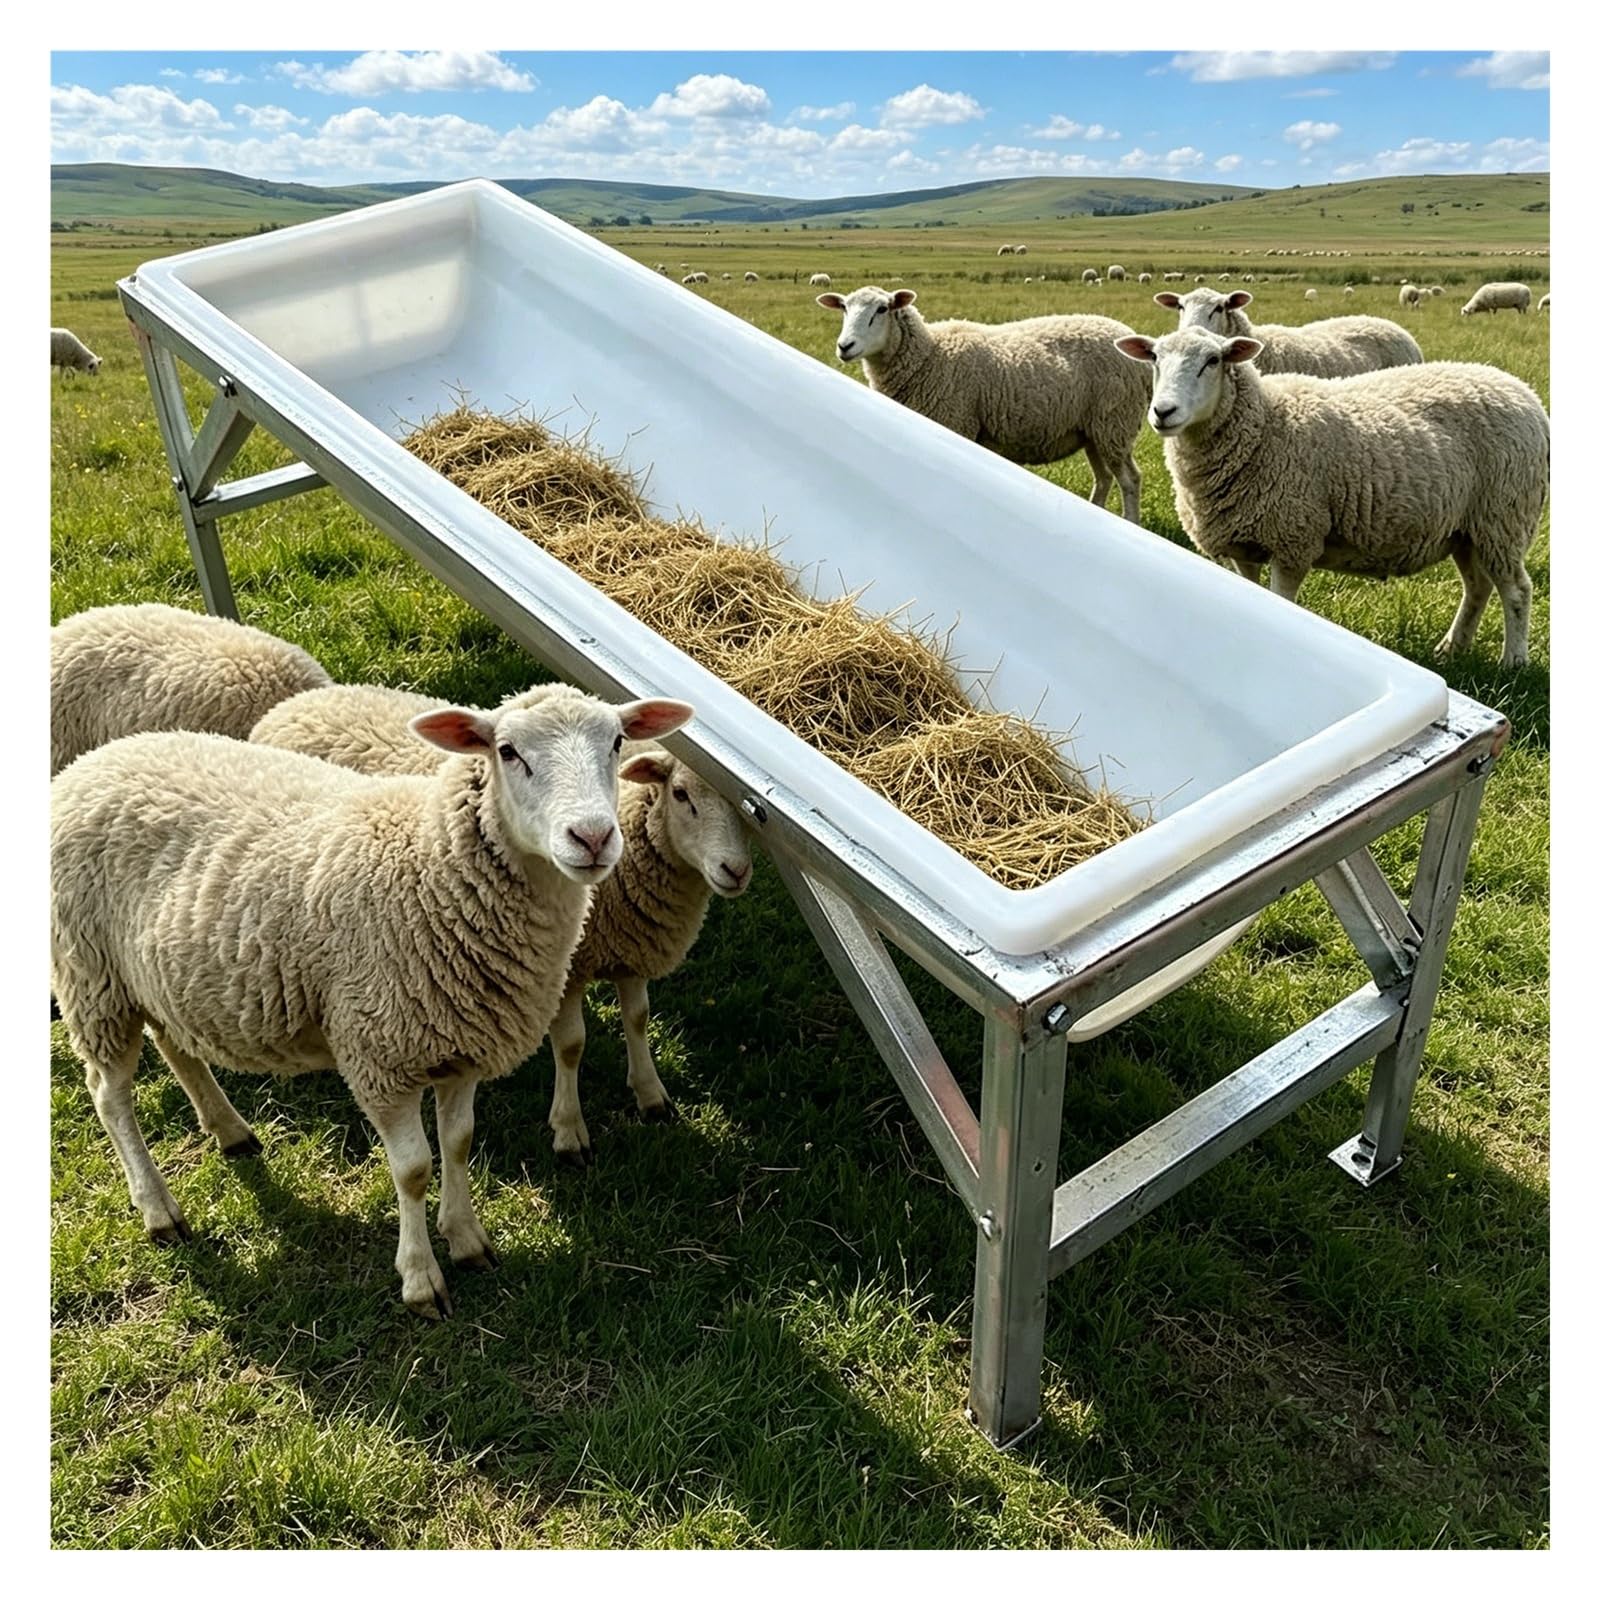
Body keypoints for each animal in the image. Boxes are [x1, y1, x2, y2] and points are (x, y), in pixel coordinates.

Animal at [51, 683, 696, 1316]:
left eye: (617, 742)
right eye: (507, 751)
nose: (592, 837)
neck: (433, 866)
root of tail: (92, 764)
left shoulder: (464, 1041)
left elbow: (459, 1144)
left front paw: (468, 1241)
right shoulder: (381, 1055)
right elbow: (413, 1170)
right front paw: (422, 1280)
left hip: (158, 978)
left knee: (176, 1046)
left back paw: (230, 1130)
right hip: (91, 974)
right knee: (108, 1095)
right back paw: (159, 1210)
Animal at [250, 684, 754, 1162]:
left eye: (616, 742)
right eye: (681, 795)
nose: (593, 838)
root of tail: (295, 704)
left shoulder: (631, 947)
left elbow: (639, 1018)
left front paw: (650, 1095)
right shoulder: (568, 969)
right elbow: (572, 1044)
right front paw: (569, 1129)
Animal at [817, 284, 1149, 524]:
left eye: (882, 309)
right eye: (844, 308)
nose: (844, 346)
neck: (929, 356)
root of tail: (1125, 332)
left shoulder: (957, 424)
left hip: (1115, 423)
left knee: (1130, 479)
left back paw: (1131, 522)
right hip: (1094, 430)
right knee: (1104, 478)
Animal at [1113, 326, 1547, 668]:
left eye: (1213, 360)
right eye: (1154, 358)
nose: (1163, 411)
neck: (1264, 426)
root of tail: (1523, 392)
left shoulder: (1293, 540)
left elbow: (1282, 599)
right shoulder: (1244, 544)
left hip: (1504, 515)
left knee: (1517, 590)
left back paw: (1513, 662)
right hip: (1467, 529)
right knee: (1478, 587)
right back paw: (1451, 649)